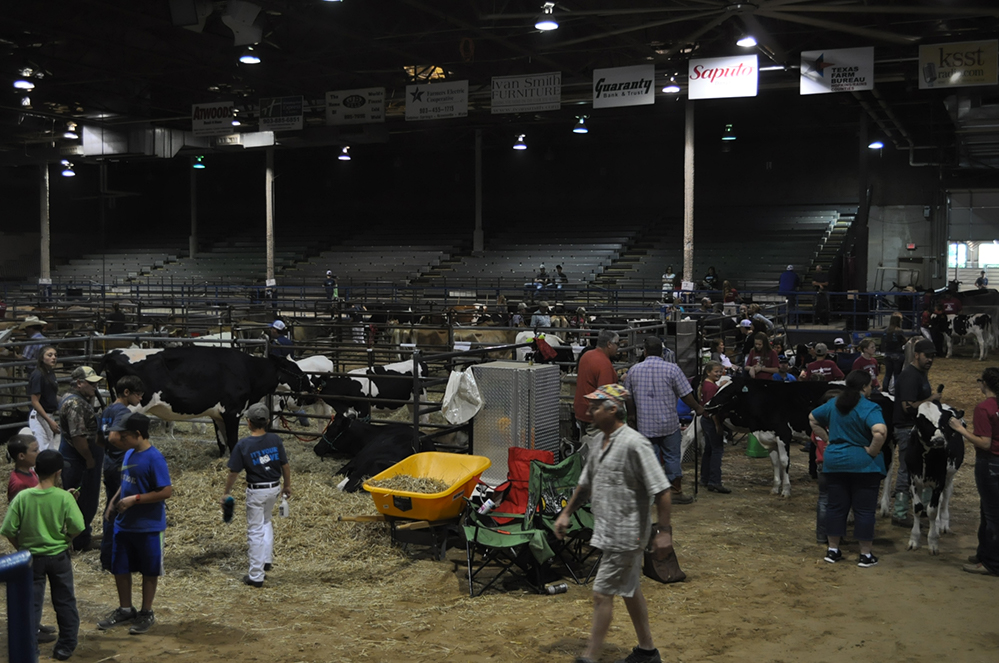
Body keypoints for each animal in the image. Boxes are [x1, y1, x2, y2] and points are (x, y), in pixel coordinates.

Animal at [100, 348, 312, 456]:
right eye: (296, 368)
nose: (311, 386)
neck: (247, 370)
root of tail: (111, 353)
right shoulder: (232, 411)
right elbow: (233, 441)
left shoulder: (218, 414)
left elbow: (222, 442)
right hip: (130, 407)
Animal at [904, 402, 964, 552]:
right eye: (921, 421)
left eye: (943, 423)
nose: (939, 440)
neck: (926, 455)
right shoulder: (912, 479)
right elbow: (918, 507)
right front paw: (914, 539)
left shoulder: (939, 481)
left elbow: (932, 510)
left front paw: (932, 542)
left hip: (949, 476)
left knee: (945, 496)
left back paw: (942, 524)